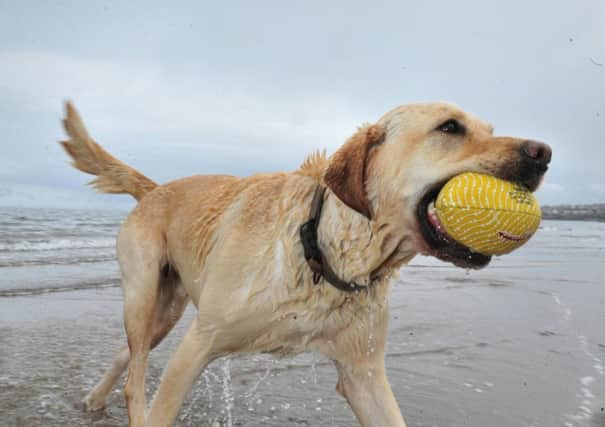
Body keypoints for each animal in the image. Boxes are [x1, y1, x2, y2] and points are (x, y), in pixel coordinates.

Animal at [59, 102, 548, 426]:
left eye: (489, 128)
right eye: (450, 127)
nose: (543, 152)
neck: (325, 251)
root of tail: (156, 188)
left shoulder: (364, 373)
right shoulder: (200, 342)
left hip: (166, 309)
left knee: (128, 353)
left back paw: (95, 399)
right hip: (146, 294)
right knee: (135, 371)